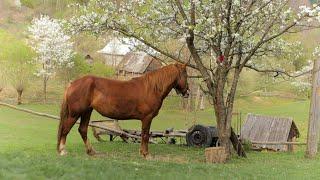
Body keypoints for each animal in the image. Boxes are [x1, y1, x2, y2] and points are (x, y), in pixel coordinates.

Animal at [56, 63, 189, 158]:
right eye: (186, 75)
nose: (187, 92)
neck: (152, 88)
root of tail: (73, 83)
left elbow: (143, 135)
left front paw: (142, 152)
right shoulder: (147, 118)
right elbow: (145, 135)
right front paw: (146, 154)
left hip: (87, 112)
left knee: (82, 130)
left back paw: (91, 151)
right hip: (75, 114)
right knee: (65, 129)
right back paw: (62, 151)